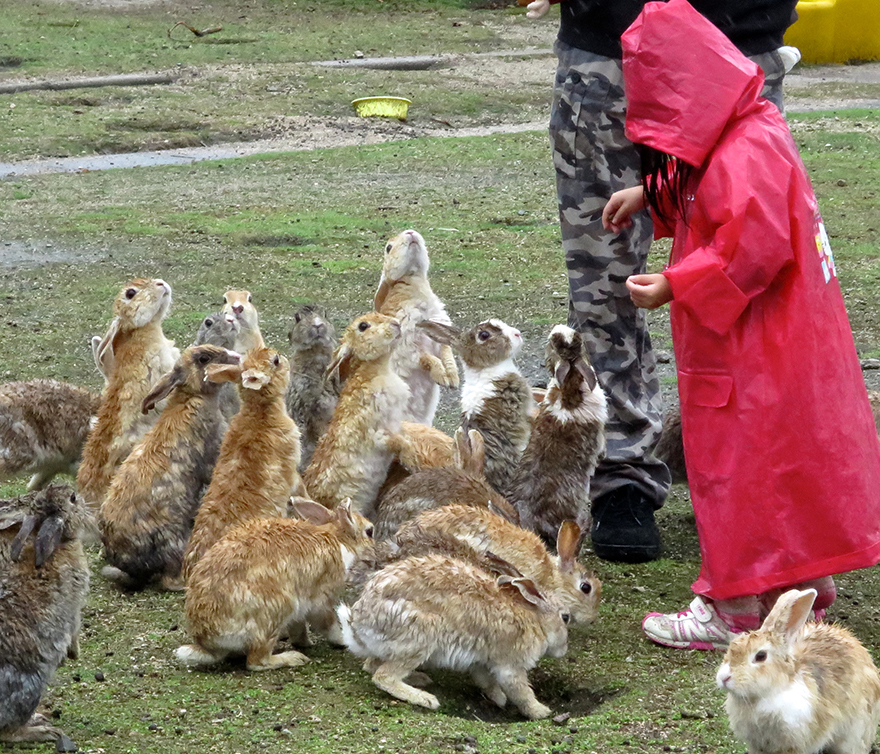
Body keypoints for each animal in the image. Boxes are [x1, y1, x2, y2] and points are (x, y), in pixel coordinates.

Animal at [0, 484, 90, 744]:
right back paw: (41, 730)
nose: (81, 496)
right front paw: (74, 652)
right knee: (7, 732)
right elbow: (74, 627)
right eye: (72, 499)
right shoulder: (74, 601)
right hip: (30, 686)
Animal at [176, 498, 374, 671]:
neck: (338, 539)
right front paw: (341, 640)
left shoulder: (300, 610)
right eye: (369, 531)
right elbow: (327, 623)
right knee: (256, 661)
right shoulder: (321, 599)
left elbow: (298, 626)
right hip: (277, 609)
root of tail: (209, 640)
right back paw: (294, 658)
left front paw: (305, 642)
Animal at [303, 312, 411, 514]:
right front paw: (408, 447)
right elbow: (391, 440)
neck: (377, 370)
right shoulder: (374, 431)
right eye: (363, 326)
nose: (396, 324)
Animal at [338, 552, 568, 719]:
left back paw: (419, 679)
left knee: (371, 665)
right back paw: (426, 699)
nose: (564, 648)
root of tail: (358, 626)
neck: (536, 620)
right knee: (383, 676)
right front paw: (541, 711)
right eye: (565, 617)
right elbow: (521, 692)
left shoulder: (481, 661)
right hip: (421, 635)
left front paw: (500, 699)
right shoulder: (510, 664)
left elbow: (487, 682)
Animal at [374, 229, 459, 426]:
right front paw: (442, 378)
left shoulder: (440, 338)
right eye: (388, 247)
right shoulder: (408, 348)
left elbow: (446, 355)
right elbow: (427, 359)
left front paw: (453, 380)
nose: (410, 232)